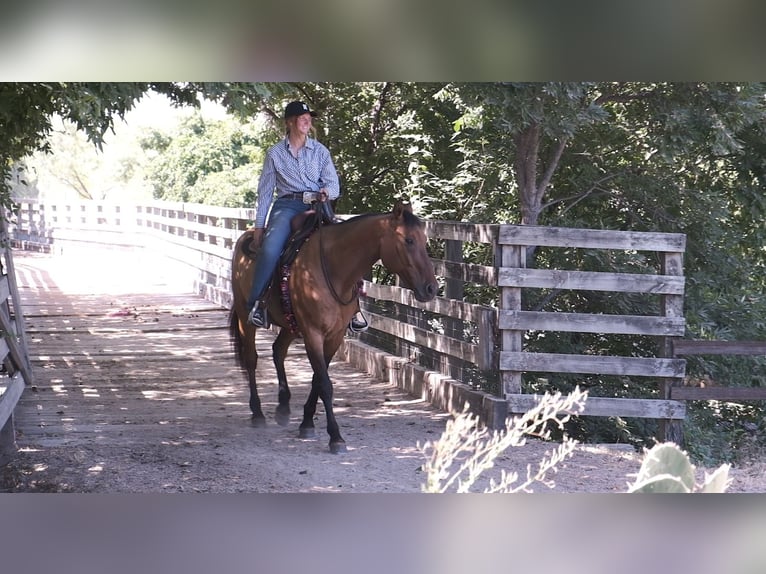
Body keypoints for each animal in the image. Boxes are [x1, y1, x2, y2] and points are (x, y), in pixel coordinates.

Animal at [228, 202, 438, 454]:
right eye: (408, 240)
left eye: (423, 240)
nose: (431, 288)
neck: (334, 269)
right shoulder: (313, 334)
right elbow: (325, 384)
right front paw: (335, 436)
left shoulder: (335, 336)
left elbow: (318, 380)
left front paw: (306, 423)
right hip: (245, 315)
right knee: (251, 358)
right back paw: (258, 412)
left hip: (290, 323)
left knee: (278, 350)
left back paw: (283, 407)